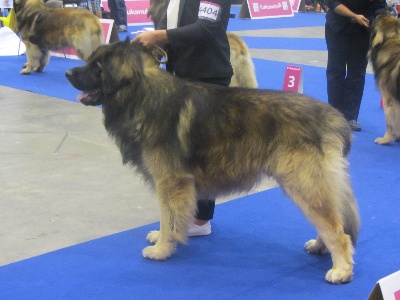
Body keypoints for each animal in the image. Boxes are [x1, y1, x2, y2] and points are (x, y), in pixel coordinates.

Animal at [65, 39, 360, 284]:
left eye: (98, 67)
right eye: (90, 61)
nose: (68, 74)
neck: (140, 94)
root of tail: (335, 118)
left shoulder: (170, 182)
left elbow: (168, 217)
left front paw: (162, 249)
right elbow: (171, 218)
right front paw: (162, 238)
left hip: (304, 183)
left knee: (338, 230)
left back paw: (341, 269)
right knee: (332, 220)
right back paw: (321, 248)